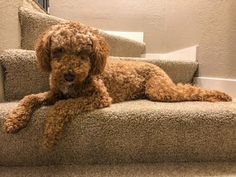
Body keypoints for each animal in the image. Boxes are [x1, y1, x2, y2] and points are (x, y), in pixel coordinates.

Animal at [3, 21, 232, 149]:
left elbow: (61, 107)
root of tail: (155, 65)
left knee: (188, 89)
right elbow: (30, 97)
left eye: (83, 53)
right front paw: (14, 119)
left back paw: (220, 95)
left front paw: (50, 134)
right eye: (58, 50)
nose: (68, 75)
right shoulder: (56, 92)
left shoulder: (100, 97)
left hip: (158, 90)